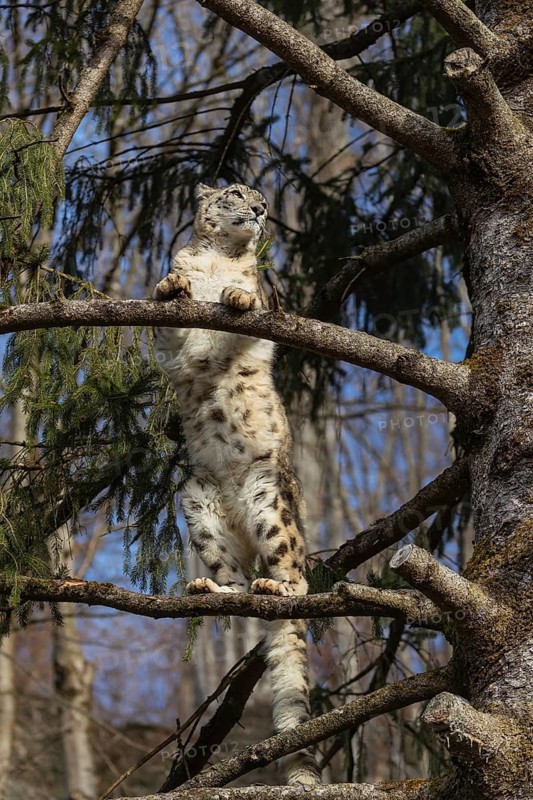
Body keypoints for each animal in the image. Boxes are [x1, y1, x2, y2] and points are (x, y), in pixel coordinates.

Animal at [153, 183, 320, 786]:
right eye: (235, 192)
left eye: (261, 195)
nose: (261, 209)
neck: (218, 257)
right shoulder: (167, 341)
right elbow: (168, 322)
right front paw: (171, 285)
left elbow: (251, 308)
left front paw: (236, 296)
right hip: (197, 505)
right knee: (236, 579)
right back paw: (213, 588)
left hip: (272, 503)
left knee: (294, 575)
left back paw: (279, 588)